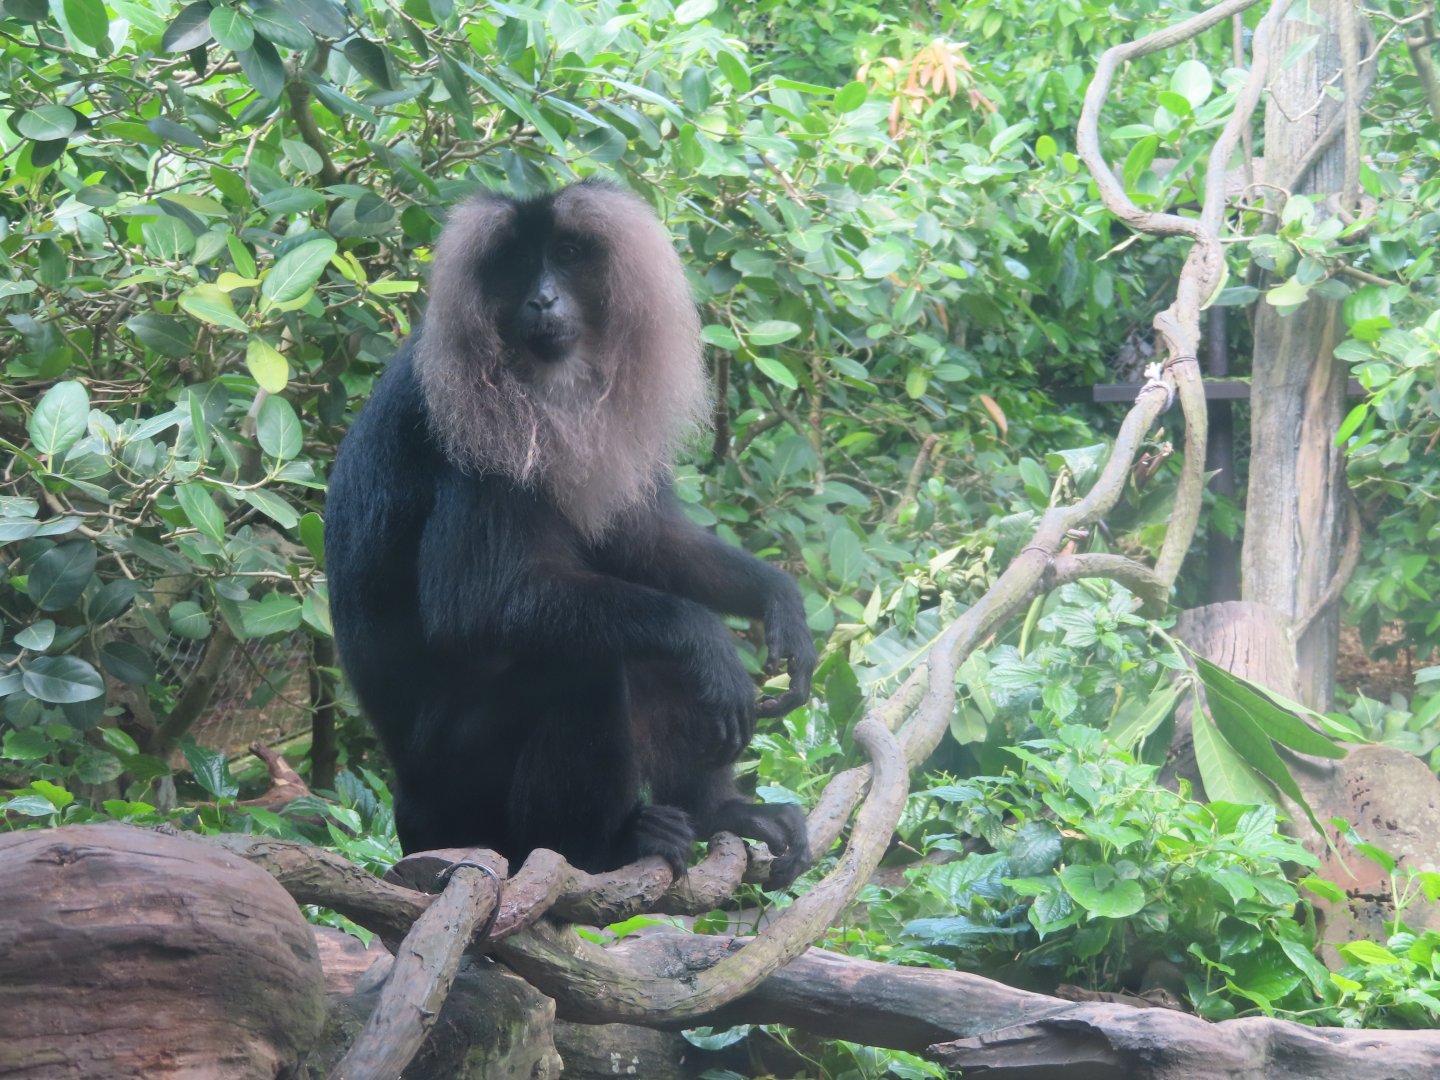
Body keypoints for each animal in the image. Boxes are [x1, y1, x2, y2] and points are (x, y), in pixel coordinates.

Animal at [325, 179, 817, 887]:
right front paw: (708, 638)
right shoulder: (475, 428)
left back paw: (720, 811)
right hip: (460, 784)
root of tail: (411, 805)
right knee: (586, 663)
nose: (542, 298)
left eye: (567, 254)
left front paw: (780, 603)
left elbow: (644, 541)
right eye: (514, 263)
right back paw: (599, 849)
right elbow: (472, 607)